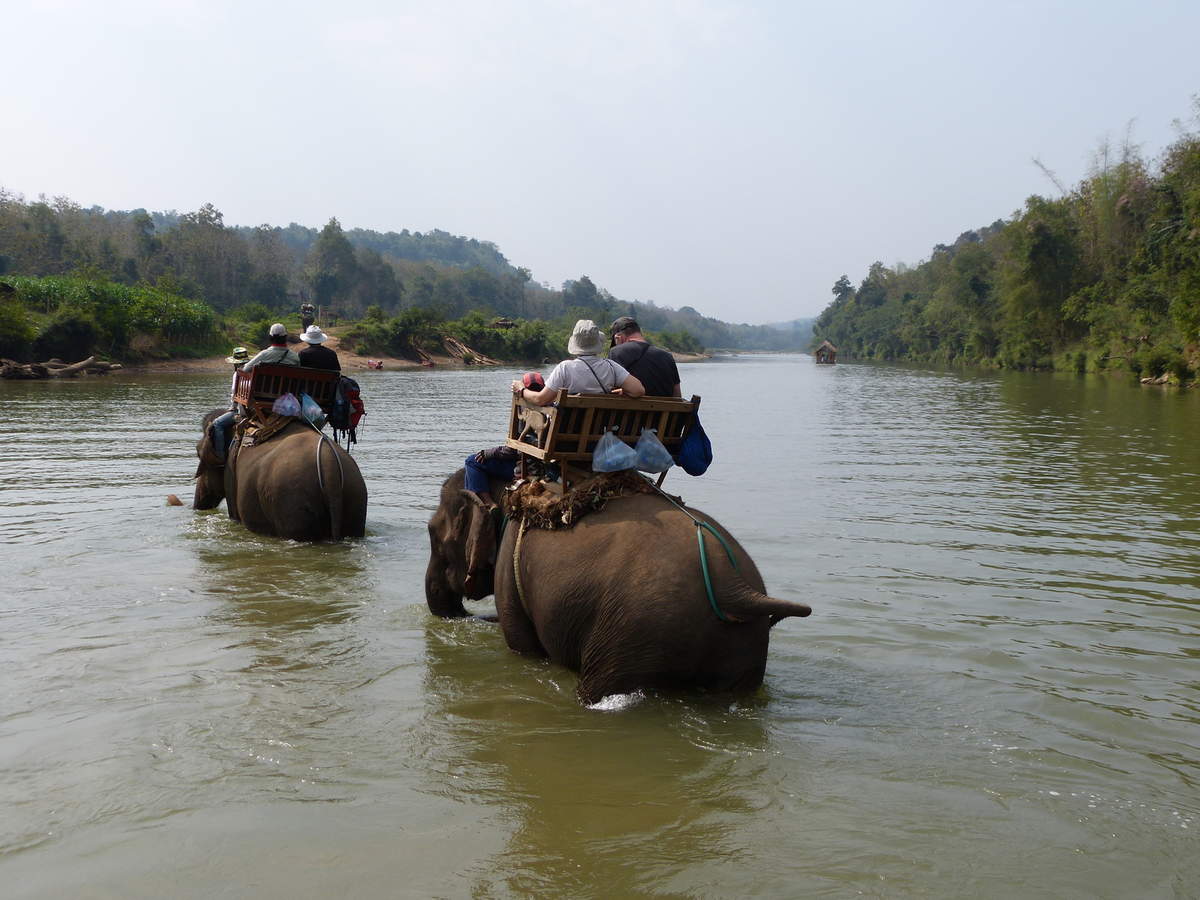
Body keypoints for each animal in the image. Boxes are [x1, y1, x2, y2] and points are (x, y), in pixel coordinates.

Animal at [427, 468, 811, 710]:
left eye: (432, 533)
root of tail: (736, 590)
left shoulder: (510, 561)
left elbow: (522, 645)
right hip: (744, 648)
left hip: (632, 633)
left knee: (599, 688)